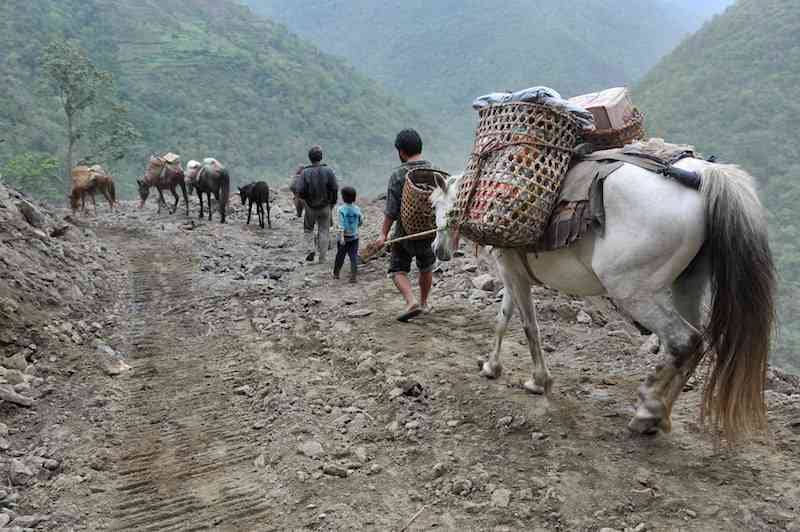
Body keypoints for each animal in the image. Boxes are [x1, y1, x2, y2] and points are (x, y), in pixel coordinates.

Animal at [432, 160, 776, 442]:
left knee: (683, 340)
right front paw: (492, 366)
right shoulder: (513, 275)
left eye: (436, 206)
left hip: (632, 290)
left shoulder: (512, 273)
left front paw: (538, 381)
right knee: (696, 344)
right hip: (687, 284)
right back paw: (660, 414)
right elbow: (503, 319)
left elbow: (527, 327)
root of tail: (702, 176)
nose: (437, 250)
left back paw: (647, 410)